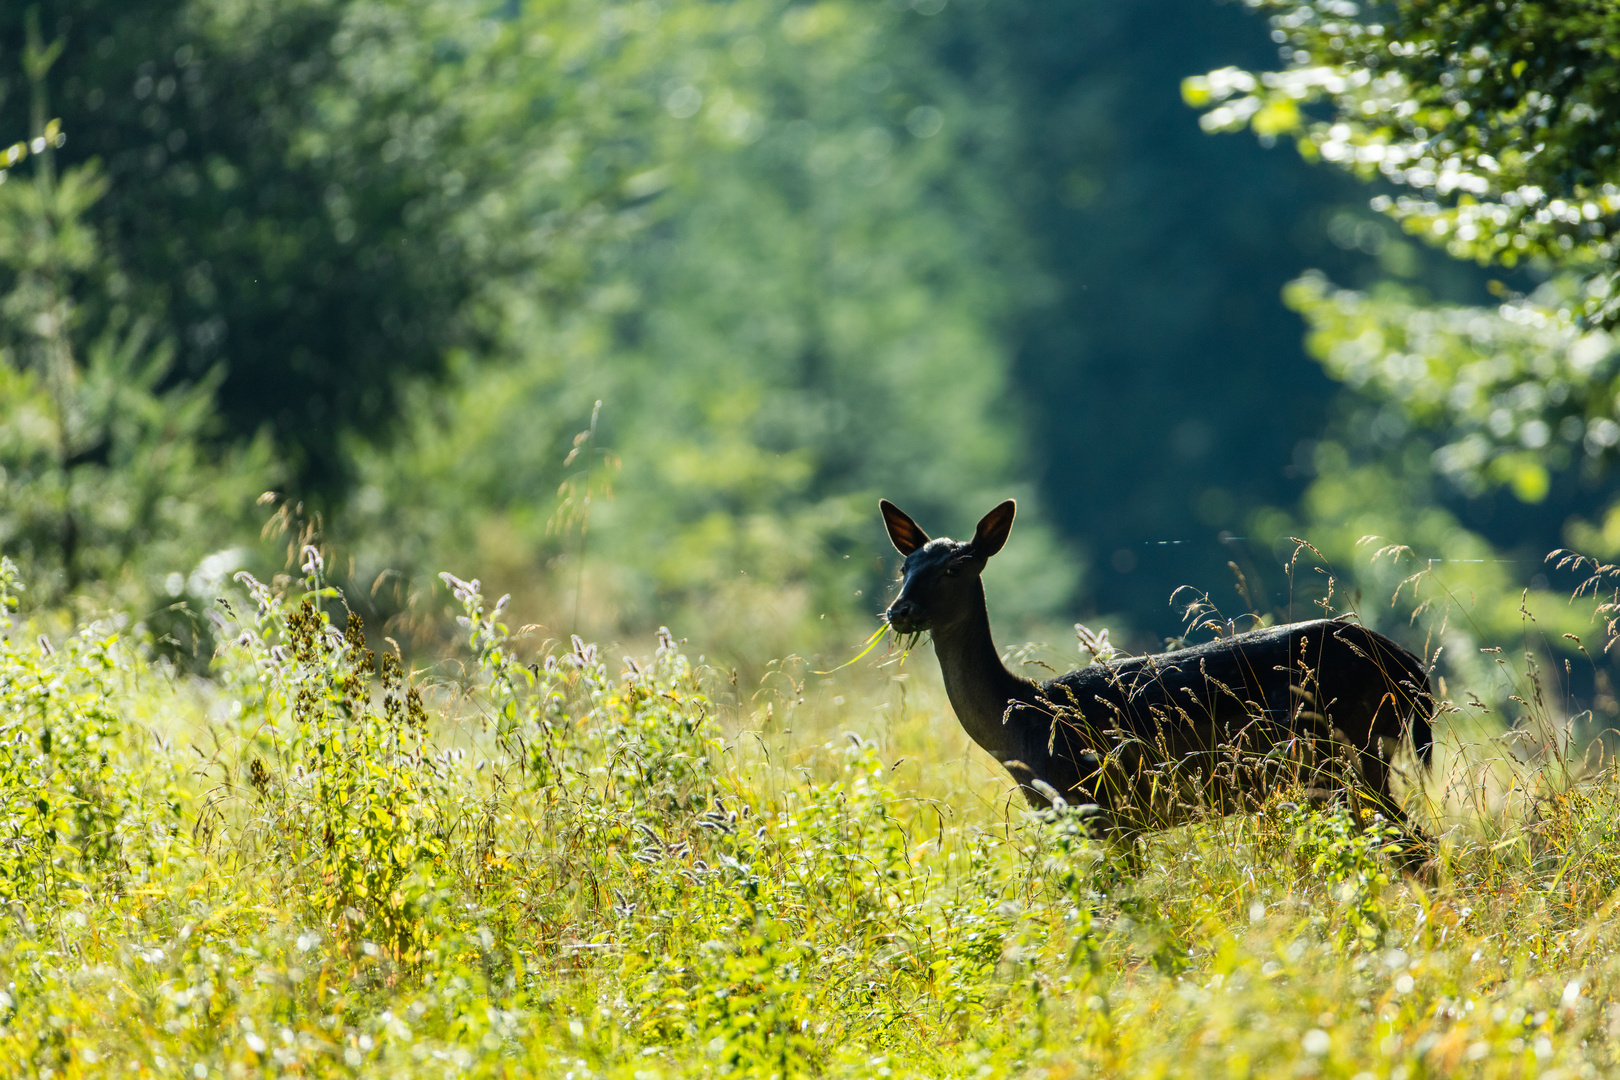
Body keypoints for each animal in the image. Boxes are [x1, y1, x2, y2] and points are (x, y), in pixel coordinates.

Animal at [887, 495, 1432, 854]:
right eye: (904, 567)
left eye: (956, 568)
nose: (899, 610)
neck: (1023, 725)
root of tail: (1406, 667)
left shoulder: (1101, 809)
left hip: (1342, 754)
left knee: (1415, 845)